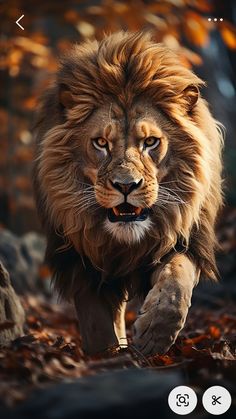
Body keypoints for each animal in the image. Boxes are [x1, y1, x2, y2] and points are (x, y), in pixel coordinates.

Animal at [32, 31, 223, 356]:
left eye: (150, 142)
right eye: (100, 143)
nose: (125, 186)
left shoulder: (186, 240)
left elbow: (176, 281)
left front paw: (154, 335)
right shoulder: (80, 260)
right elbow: (96, 323)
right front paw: (105, 356)